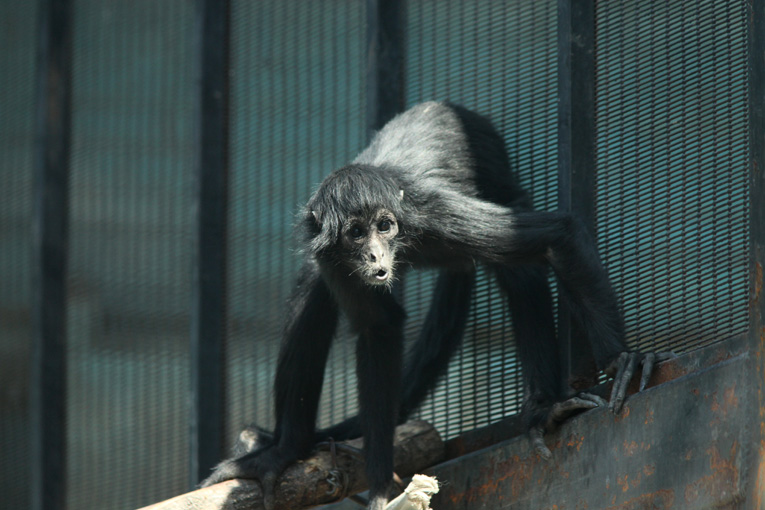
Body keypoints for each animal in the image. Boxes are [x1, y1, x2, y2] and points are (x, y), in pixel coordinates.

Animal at [201, 102, 666, 510]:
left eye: (385, 225)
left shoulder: (434, 215)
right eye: (356, 233)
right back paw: (285, 451)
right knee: (310, 292)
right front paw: (380, 488)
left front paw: (622, 360)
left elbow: (559, 233)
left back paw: (544, 409)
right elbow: (378, 328)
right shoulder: (331, 255)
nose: (376, 256)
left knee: (520, 267)